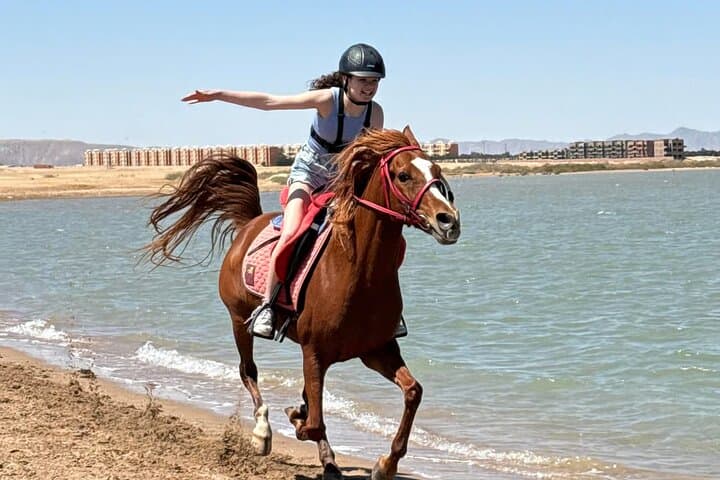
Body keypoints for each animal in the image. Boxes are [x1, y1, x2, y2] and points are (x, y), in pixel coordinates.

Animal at [143, 126, 461, 480]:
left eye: (436, 171)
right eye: (403, 175)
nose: (449, 221)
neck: (359, 272)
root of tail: (249, 225)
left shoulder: (377, 350)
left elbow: (412, 392)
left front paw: (386, 464)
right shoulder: (314, 353)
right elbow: (314, 422)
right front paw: (296, 420)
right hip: (239, 320)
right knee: (248, 371)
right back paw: (264, 434)